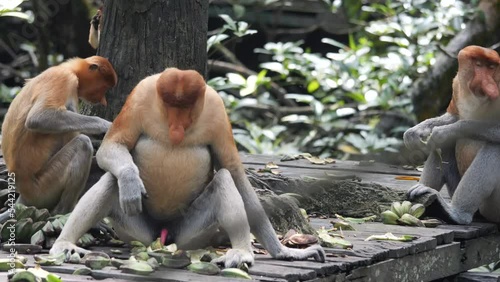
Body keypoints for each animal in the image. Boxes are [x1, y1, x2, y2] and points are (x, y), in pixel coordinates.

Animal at [0, 55, 117, 223]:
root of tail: (23, 192)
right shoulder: (64, 79)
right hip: (43, 187)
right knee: (82, 143)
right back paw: (64, 212)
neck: (68, 69)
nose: (103, 101)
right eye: (104, 88)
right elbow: (39, 118)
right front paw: (105, 125)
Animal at [49, 67, 324, 266]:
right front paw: (130, 180)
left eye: (185, 107)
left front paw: (284, 252)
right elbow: (112, 145)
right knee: (110, 180)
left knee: (224, 179)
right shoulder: (140, 95)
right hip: (136, 231)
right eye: (172, 105)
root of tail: (163, 232)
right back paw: (64, 244)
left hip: (191, 233)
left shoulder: (216, 109)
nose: (177, 128)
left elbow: (234, 172)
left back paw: (241, 252)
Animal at [404, 45, 500, 224]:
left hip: (494, 208)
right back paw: (422, 194)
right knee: (444, 146)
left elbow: (455, 127)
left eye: (491, 68)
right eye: (478, 65)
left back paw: (456, 213)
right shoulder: (456, 84)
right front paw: (414, 132)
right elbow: (453, 116)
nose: (489, 85)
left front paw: (446, 131)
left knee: (495, 147)